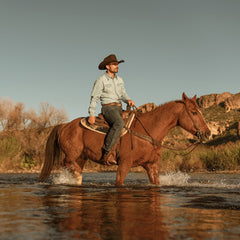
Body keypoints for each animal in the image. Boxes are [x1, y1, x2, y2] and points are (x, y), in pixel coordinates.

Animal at [38, 92, 210, 186]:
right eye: (194, 112)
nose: (208, 133)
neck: (149, 131)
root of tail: (64, 125)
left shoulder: (151, 165)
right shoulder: (124, 164)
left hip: (81, 157)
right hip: (72, 155)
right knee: (66, 164)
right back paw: (78, 177)